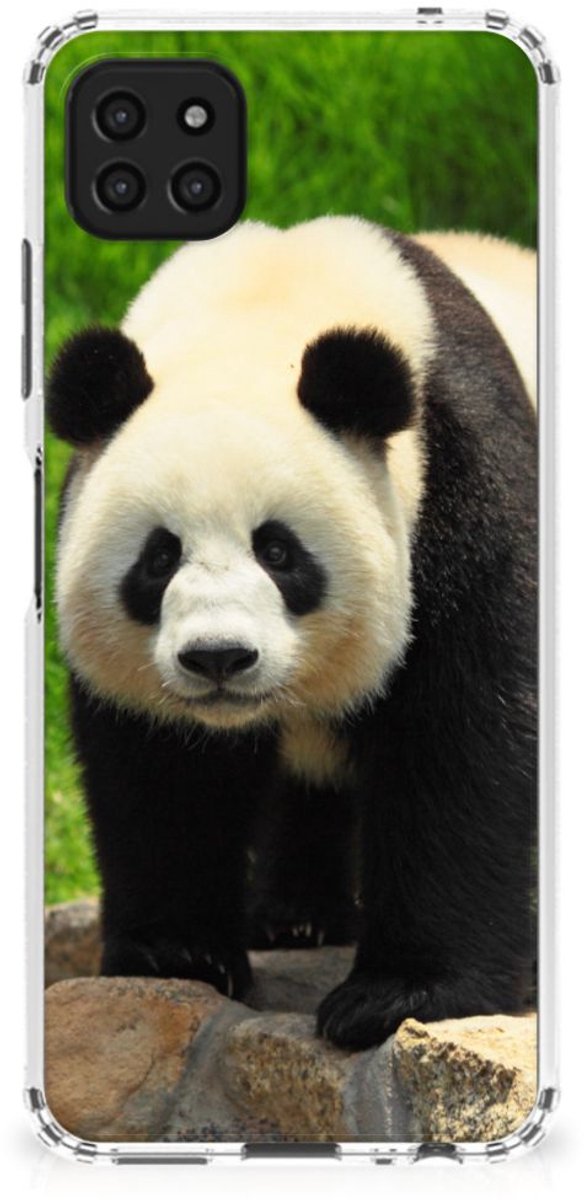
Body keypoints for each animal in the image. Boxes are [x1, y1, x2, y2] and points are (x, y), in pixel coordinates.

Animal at [47, 217, 537, 1050]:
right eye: (159, 557)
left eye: (278, 551)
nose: (218, 657)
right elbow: (161, 769)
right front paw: (179, 954)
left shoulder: (465, 486)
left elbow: (464, 738)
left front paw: (399, 994)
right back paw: (297, 917)